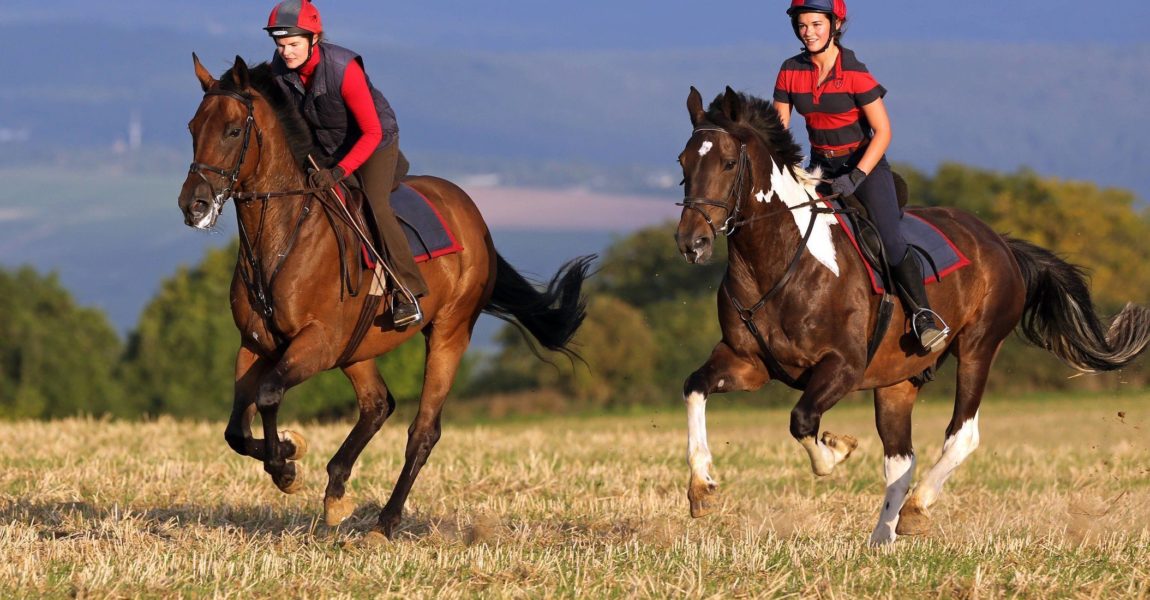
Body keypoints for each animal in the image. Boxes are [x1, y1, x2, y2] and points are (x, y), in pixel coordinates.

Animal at [179, 53, 593, 535]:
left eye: (232, 130)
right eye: (192, 127)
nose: (193, 206)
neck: (281, 237)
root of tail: (475, 218)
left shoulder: (317, 344)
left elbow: (267, 395)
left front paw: (286, 464)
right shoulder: (256, 344)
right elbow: (235, 431)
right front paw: (289, 452)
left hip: (448, 332)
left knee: (423, 429)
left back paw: (385, 521)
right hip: (358, 348)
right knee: (378, 404)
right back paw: (337, 491)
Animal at [671, 87, 1150, 542]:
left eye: (728, 163)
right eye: (683, 162)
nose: (691, 243)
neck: (777, 259)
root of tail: (999, 241)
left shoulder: (843, 366)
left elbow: (803, 421)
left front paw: (839, 448)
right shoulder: (748, 363)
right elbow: (694, 387)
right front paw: (701, 488)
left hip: (978, 347)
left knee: (961, 434)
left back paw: (916, 511)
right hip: (896, 381)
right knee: (902, 461)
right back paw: (880, 540)